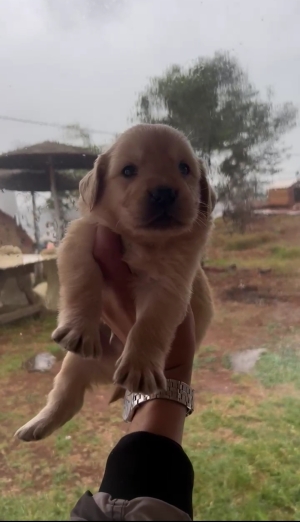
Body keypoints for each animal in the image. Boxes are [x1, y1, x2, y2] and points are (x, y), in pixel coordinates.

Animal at [15, 124, 214, 440]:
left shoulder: (170, 284)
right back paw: (35, 426)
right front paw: (79, 329)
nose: (164, 193)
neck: (143, 242)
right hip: (75, 361)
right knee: (65, 397)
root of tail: (107, 371)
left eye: (184, 168)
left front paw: (140, 366)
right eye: (129, 170)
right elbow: (84, 280)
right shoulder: (81, 238)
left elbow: (149, 325)